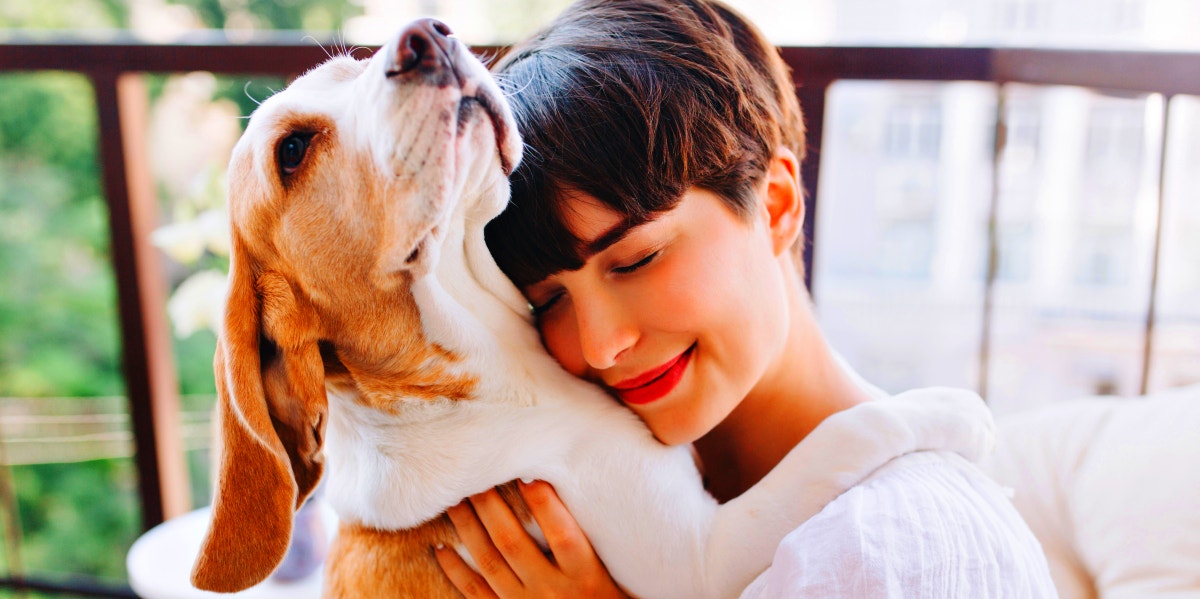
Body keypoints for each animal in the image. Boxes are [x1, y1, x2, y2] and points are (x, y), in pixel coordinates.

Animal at [187, 18, 993, 599]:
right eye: (293, 151)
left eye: (351, 69)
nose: (427, 35)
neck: (497, 370)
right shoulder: (696, 558)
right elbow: (846, 434)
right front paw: (950, 408)